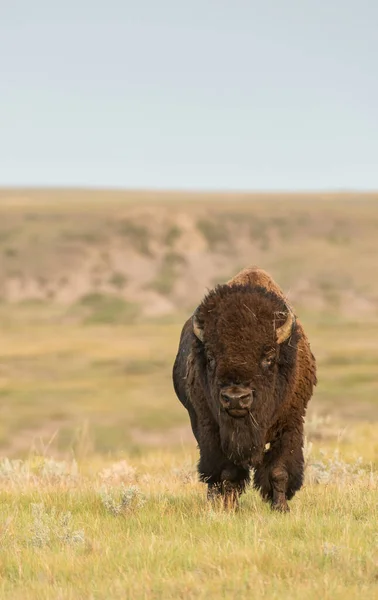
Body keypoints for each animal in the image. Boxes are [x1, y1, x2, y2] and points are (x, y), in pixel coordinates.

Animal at [172, 268, 316, 510]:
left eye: (268, 357)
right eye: (210, 357)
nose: (236, 398)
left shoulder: (290, 424)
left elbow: (279, 470)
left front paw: (281, 508)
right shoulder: (212, 428)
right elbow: (227, 473)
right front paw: (229, 507)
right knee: (213, 476)